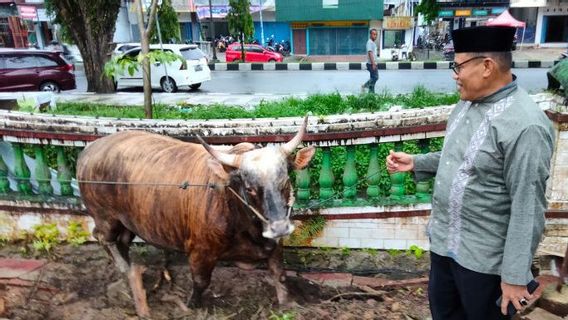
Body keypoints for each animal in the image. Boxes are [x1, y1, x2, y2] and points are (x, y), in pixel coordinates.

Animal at [76, 117, 316, 318]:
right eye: (250, 188)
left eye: (285, 181)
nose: (280, 228)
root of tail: (89, 150)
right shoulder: (200, 252)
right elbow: (201, 282)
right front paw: (192, 305)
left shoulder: (274, 245)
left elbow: (280, 275)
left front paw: (287, 303)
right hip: (105, 217)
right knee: (103, 237)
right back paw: (124, 269)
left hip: (126, 221)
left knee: (123, 241)